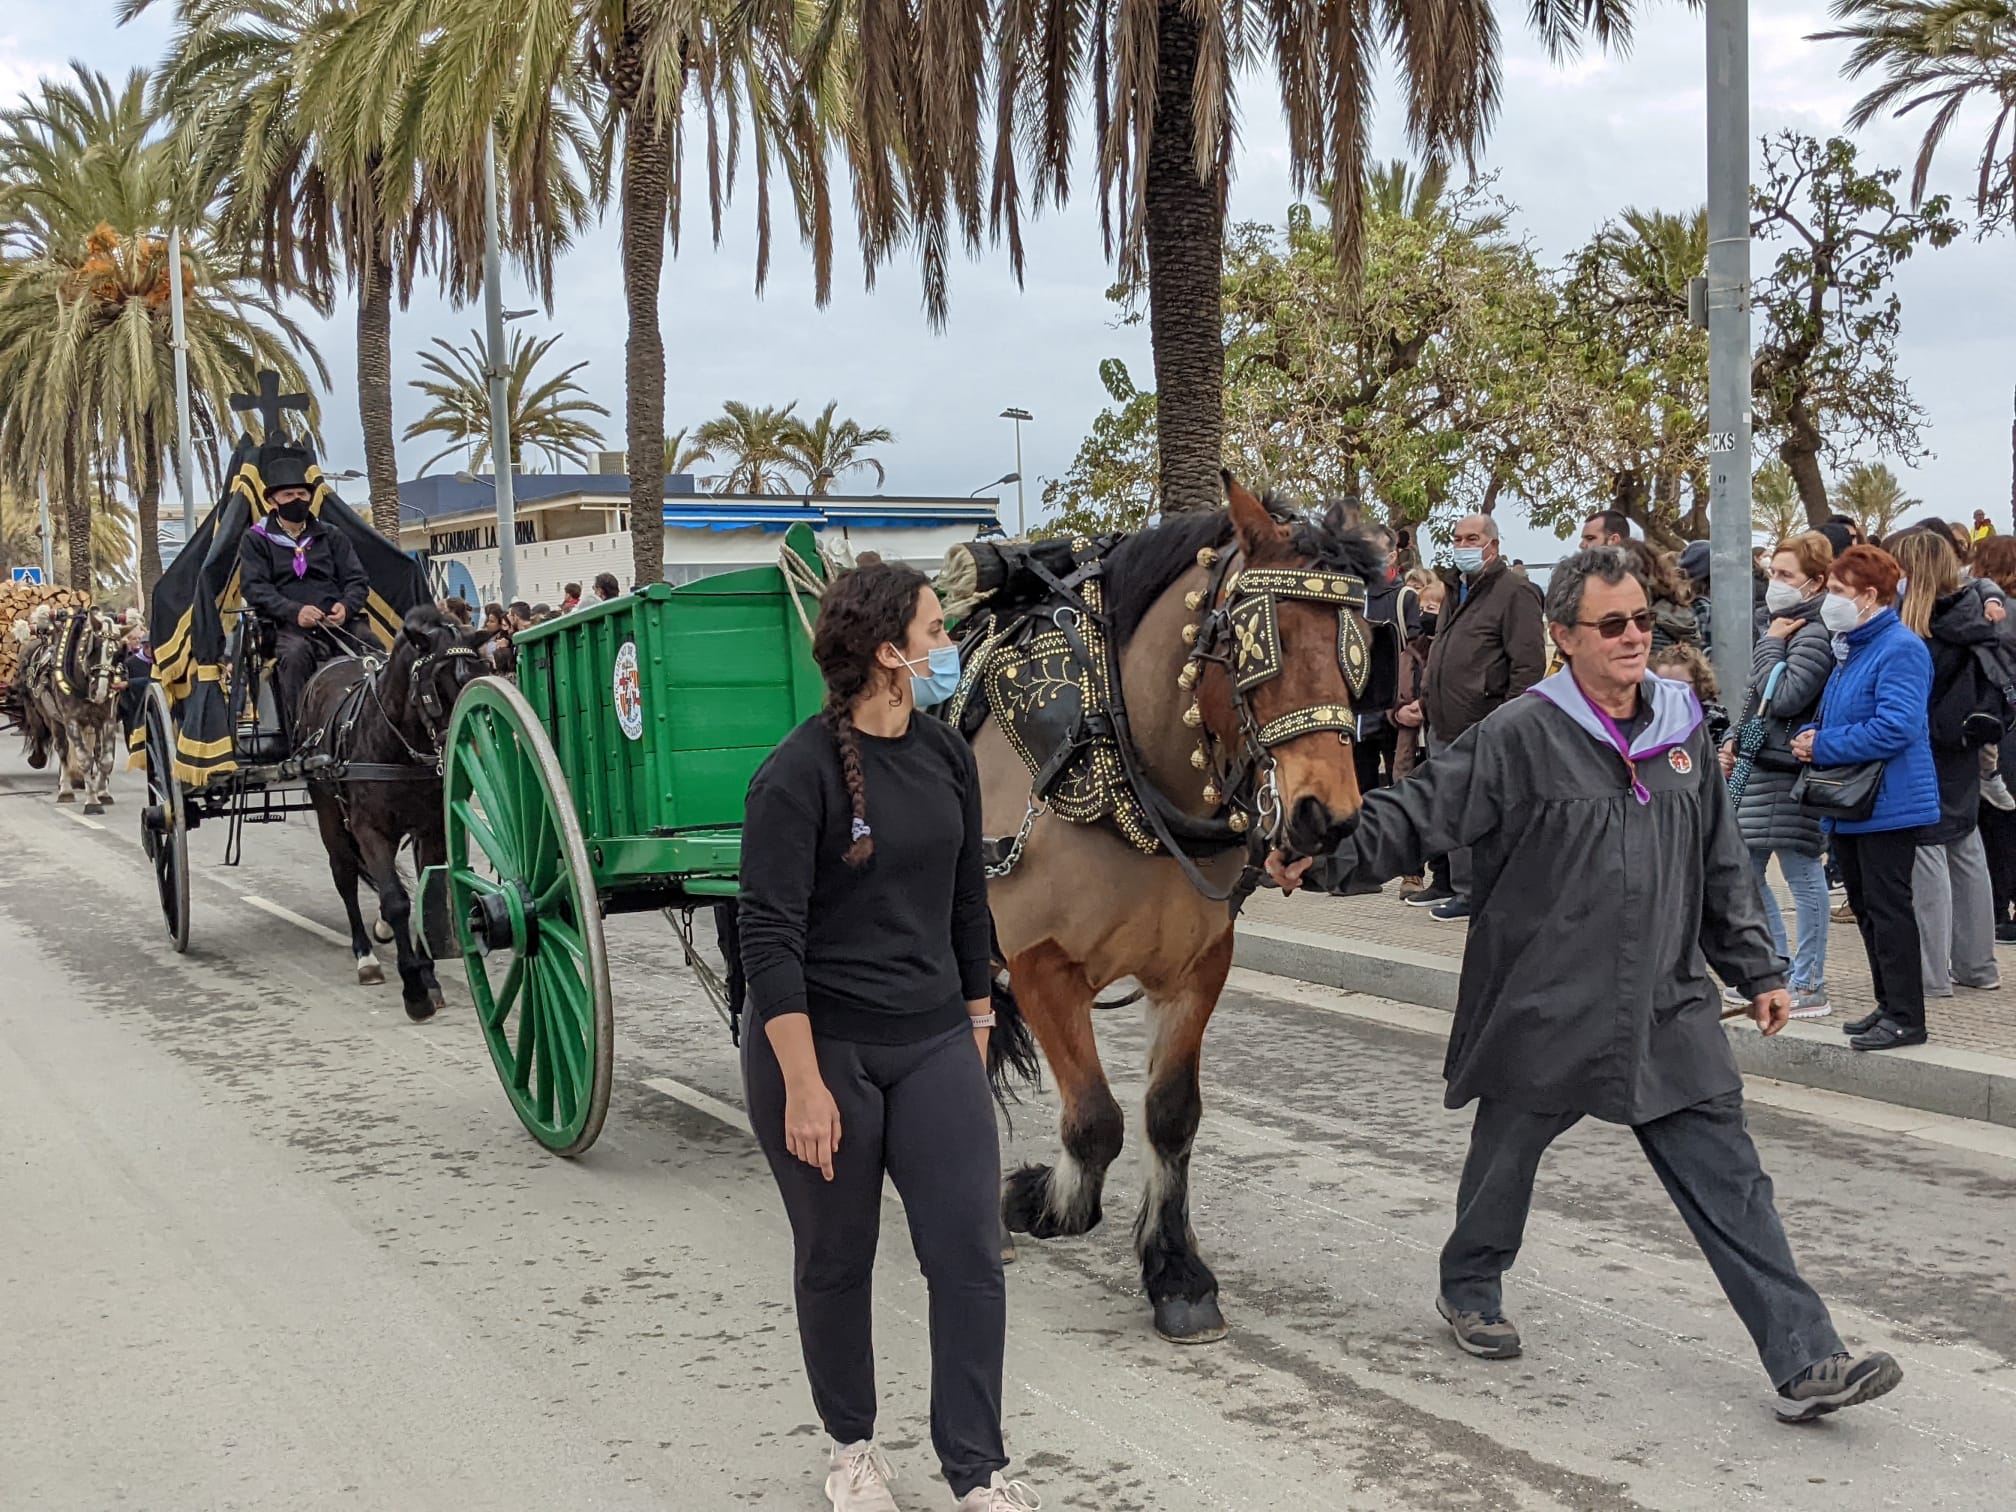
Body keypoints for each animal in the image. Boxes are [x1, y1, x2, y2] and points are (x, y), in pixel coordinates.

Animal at [294, 608, 491, 1024]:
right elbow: (397, 901)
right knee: (345, 877)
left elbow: (427, 891)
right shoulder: (369, 829)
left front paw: (428, 977)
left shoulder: (432, 829)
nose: (463, 746)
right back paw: (366, 956)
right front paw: (414, 990)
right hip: (331, 818)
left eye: (478, 674)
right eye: (436, 686)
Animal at [975, 479, 1387, 1346]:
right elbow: (1095, 1121)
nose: (1325, 819)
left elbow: (1170, 1115)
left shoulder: (1198, 966)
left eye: (1360, 644)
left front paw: (1176, 1272)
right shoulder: (1038, 962)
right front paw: (1034, 1198)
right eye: (1263, 639)